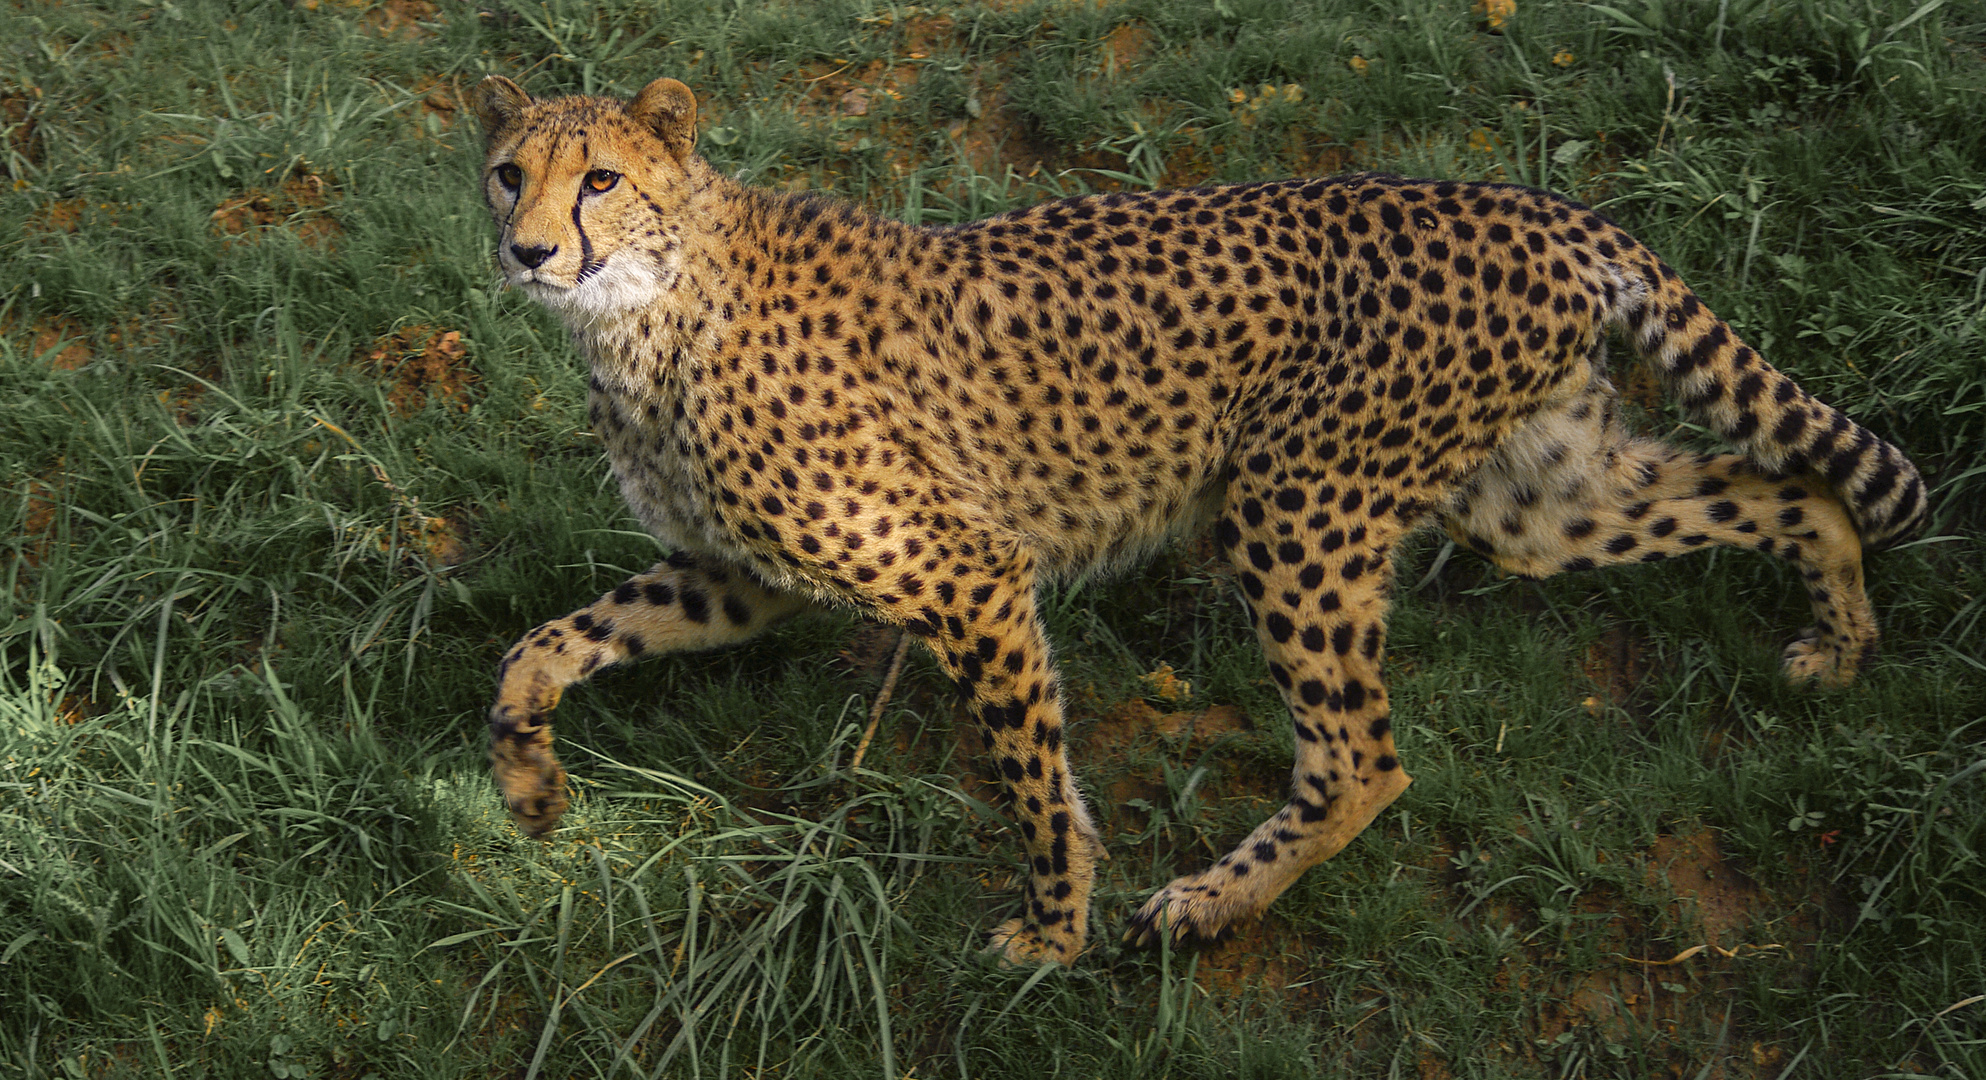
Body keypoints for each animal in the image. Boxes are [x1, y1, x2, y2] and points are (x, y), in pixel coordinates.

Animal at [464, 80, 1922, 964]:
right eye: (506, 173)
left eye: (600, 181)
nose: (527, 250)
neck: (642, 310)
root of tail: (1534, 204)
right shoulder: (735, 575)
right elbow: (538, 649)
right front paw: (530, 790)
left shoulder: (968, 573)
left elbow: (1029, 773)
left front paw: (1052, 930)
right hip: (1538, 499)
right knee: (1786, 489)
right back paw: (1842, 640)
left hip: (1295, 505)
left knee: (1363, 761)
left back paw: (1209, 899)